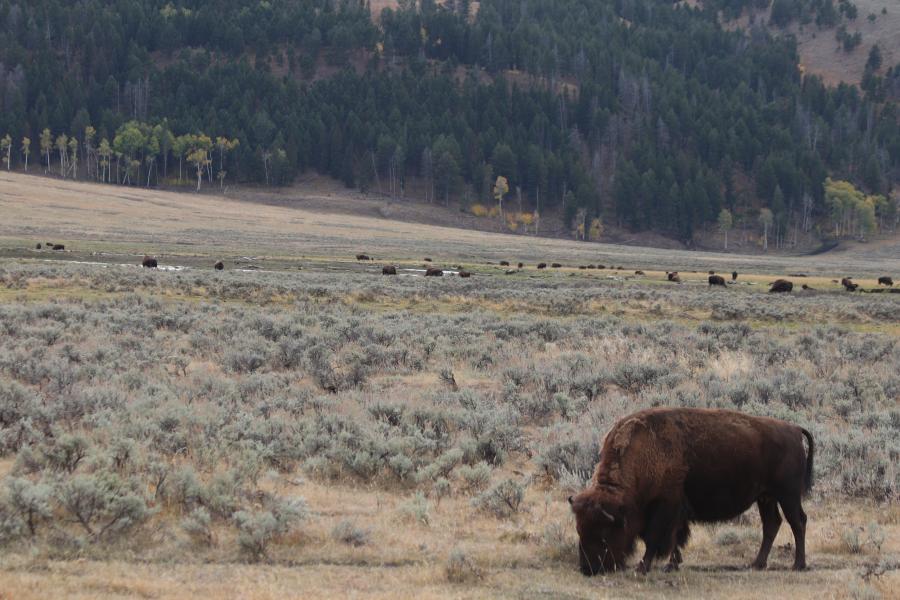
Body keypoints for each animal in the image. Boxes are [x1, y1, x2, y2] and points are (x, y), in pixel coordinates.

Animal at [568, 410, 816, 576]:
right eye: (579, 530)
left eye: (604, 534)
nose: (589, 569)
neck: (645, 452)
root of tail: (794, 429)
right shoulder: (676, 510)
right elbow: (675, 537)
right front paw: (672, 564)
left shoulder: (665, 507)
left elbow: (655, 539)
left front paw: (644, 567)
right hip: (765, 497)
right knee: (772, 524)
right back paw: (757, 564)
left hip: (788, 495)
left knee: (798, 522)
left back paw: (798, 565)